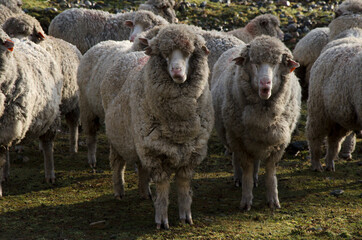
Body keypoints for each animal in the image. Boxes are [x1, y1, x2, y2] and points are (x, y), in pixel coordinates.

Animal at [3, 13, 82, 152]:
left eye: (30, 33)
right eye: (9, 33)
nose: (17, 42)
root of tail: (74, 46)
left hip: (74, 102)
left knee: (73, 124)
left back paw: (74, 148)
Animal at [100, 24, 214, 229]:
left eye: (189, 53)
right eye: (165, 54)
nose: (177, 72)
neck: (179, 125)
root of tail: (134, 54)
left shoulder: (191, 152)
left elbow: (183, 186)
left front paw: (186, 217)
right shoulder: (156, 154)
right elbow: (162, 188)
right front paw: (161, 220)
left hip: (140, 142)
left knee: (141, 167)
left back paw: (144, 192)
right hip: (117, 138)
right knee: (117, 164)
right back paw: (119, 191)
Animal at [211, 35, 302, 210]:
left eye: (276, 63)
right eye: (254, 62)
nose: (265, 84)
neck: (263, 114)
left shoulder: (278, 142)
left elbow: (270, 171)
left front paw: (273, 199)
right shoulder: (239, 140)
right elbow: (246, 167)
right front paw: (246, 199)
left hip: (258, 139)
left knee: (257, 160)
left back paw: (255, 178)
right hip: (232, 134)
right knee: (237, 159)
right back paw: (238, 178)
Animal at [306, 26, 362, 172]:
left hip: (339, 116)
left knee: (334, 140)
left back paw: (330, 163)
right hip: (319, 109)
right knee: (314, 136)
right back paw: (316, 164)